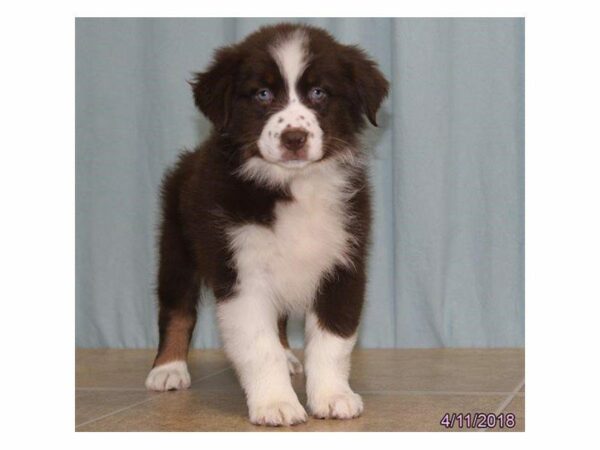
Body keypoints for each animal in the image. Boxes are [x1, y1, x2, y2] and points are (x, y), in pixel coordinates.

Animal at [145, 23, 390, 426]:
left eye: (319, 93)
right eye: (262, 94)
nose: (294, 138)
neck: (293, 185)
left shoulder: (344, 263)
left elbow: (332, 340)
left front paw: (332, 396)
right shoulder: (240, 271)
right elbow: (259, 346)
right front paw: (275, 403)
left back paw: (290, 356)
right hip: (176, 245)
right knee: (176, 309)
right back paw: (168, 369)